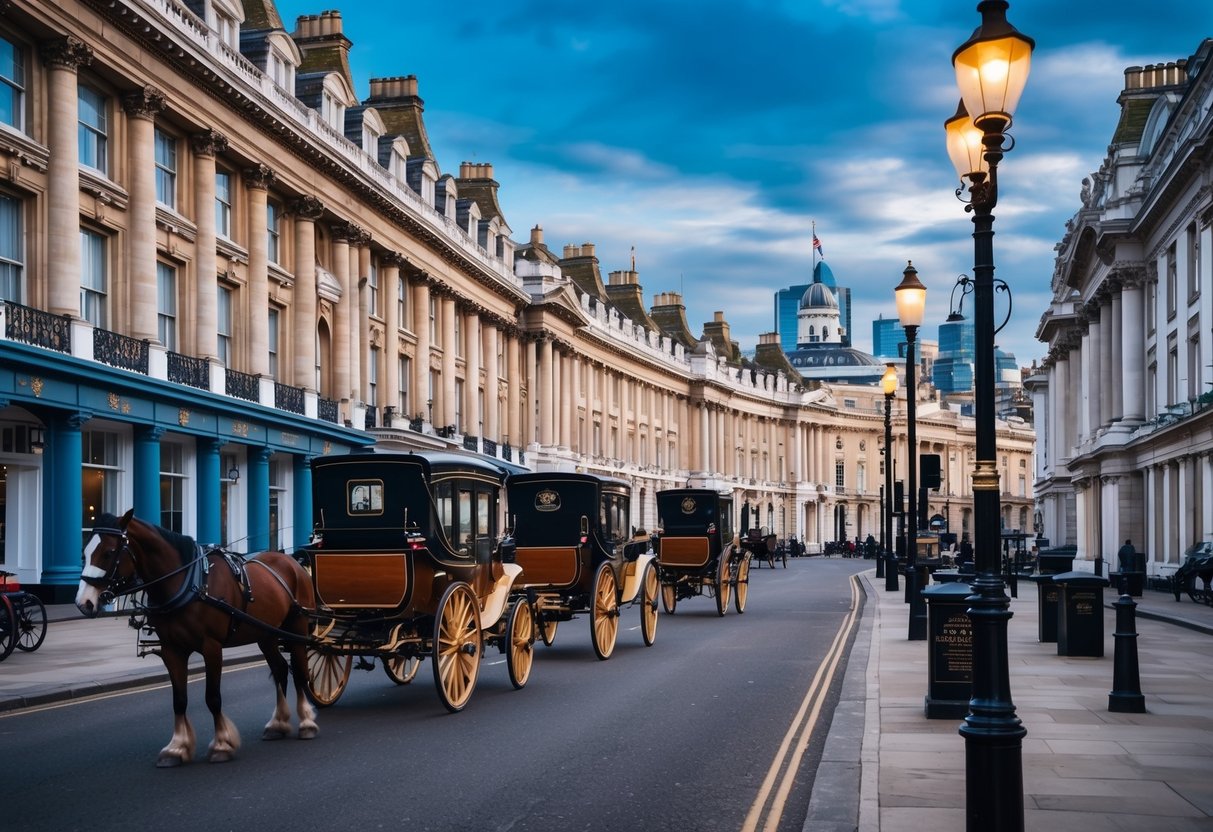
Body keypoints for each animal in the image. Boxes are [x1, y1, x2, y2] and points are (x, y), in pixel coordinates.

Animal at [75, 509, 317, 771]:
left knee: (300, 671)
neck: (189, 583)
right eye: (84, 551)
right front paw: (176, 748)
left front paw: (222, 744)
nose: (83, 603)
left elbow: (212, 697)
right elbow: (179, 699)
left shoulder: (211, 647)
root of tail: (291, 561)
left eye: (109, 552)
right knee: (281, 669)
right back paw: (278, 723)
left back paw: (306, 722)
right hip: (266, 634)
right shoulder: (172, 650)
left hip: (297, 627)